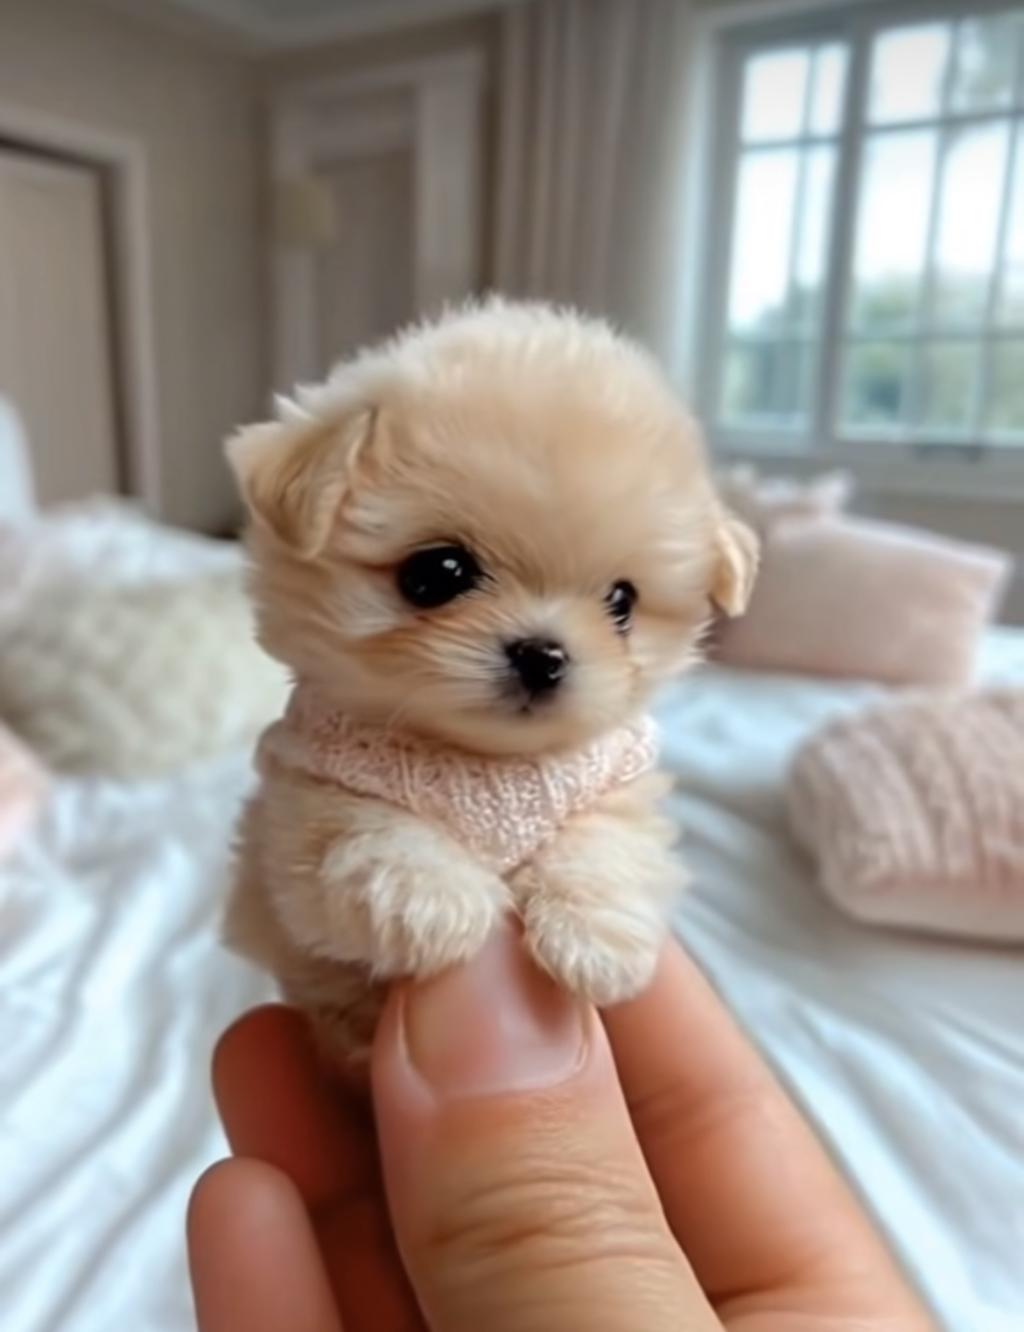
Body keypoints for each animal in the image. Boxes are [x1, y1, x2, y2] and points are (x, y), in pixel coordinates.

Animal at [225, 299, 758, 1061]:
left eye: (621, 603)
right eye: (437, 573)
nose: (544, 655)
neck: (483, 762)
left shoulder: (613, 782)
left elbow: (606, 845)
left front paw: (595, 939)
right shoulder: (309, 794)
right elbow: (366, 833)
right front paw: (433, 898)